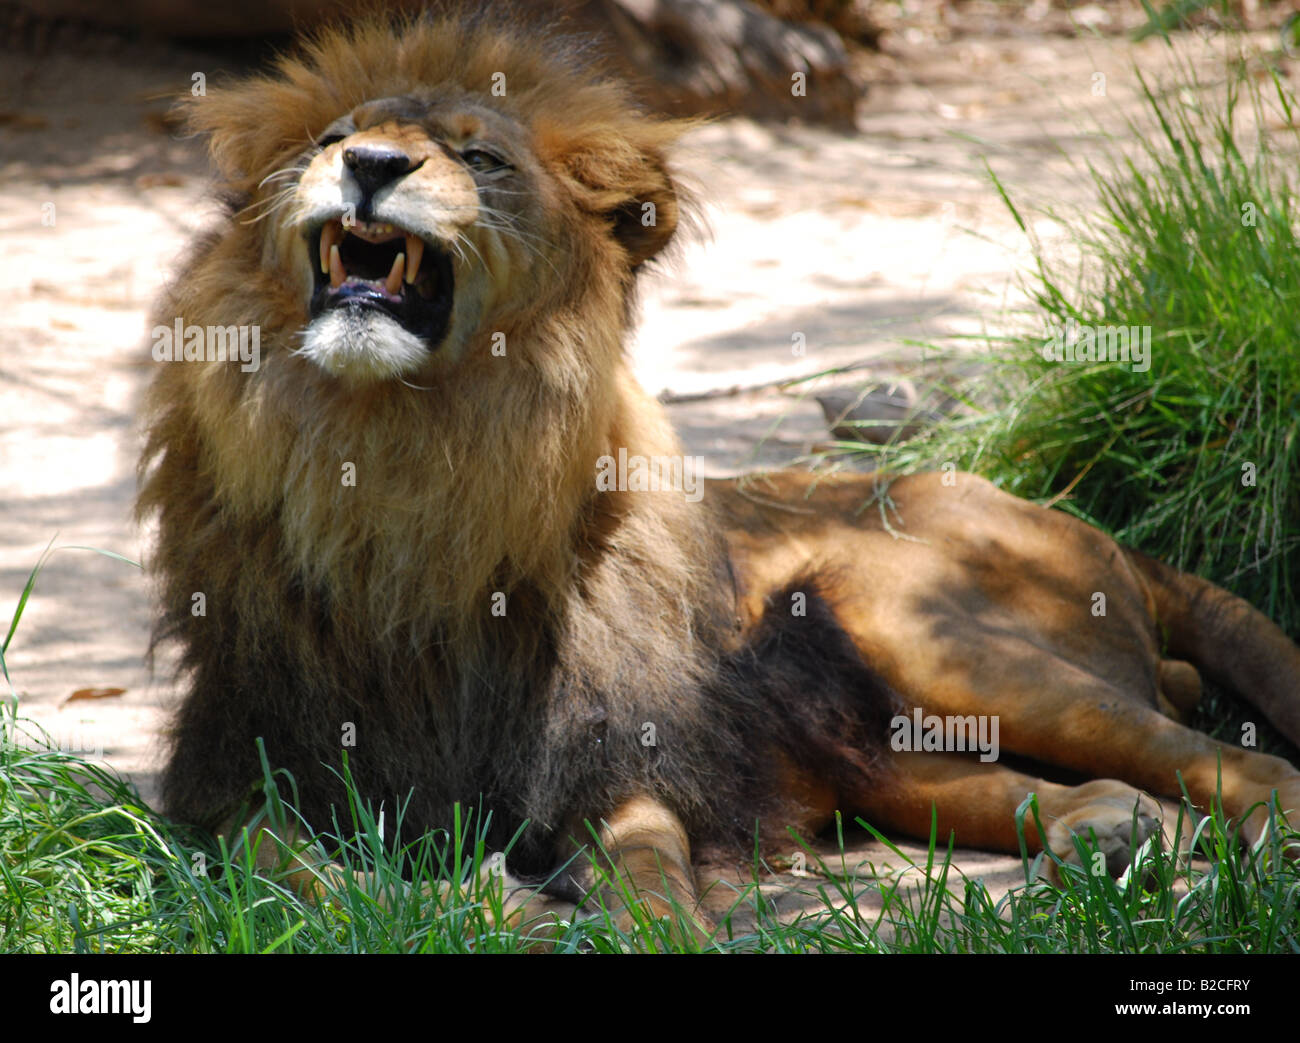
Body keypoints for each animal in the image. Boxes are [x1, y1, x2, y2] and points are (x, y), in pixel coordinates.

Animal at [137, 6, 1300, 936]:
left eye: (483, 159)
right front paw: (420, 903)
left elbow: (650, 863)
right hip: (878, 747)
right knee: (1069, 781)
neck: (397, 463)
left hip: (928, 630)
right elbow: (279, 863)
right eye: (332, 141)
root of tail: (1102, 535)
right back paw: (1103, 835)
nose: (373, 165)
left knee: (1237, 756)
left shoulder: (620, 753)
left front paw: (651, 929)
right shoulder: (248, 762)